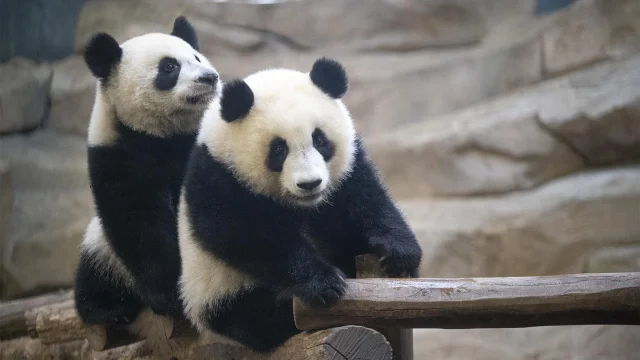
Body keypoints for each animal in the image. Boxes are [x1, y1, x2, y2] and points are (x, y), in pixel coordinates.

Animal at [73, 15, 220, 336]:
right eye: (169, 67)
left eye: (196, 57)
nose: (209, 77)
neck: (164, 134)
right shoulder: (118, 155)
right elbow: (140, 222)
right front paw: (171, 296)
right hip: (103, 251)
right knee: (94, 274)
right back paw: (109, 309)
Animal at [178, 57, 422, 352]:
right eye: (279, 149)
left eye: (320, 140)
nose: (310, 183)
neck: (303, 205)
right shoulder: (218, 176)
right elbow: (246, 234)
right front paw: (324, 283)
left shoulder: (347, 171)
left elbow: (368, 199)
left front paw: (399, 253)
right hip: (219, 293)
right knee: (257, 317)